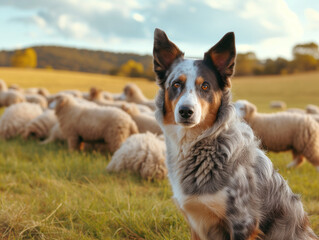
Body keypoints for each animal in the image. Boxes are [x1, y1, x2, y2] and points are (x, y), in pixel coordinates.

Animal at [152, 28, 318, 240]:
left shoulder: (242, 222)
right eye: (175, 84)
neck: (198, 143)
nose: (185, 111)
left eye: (205, 86)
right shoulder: (195, 222)